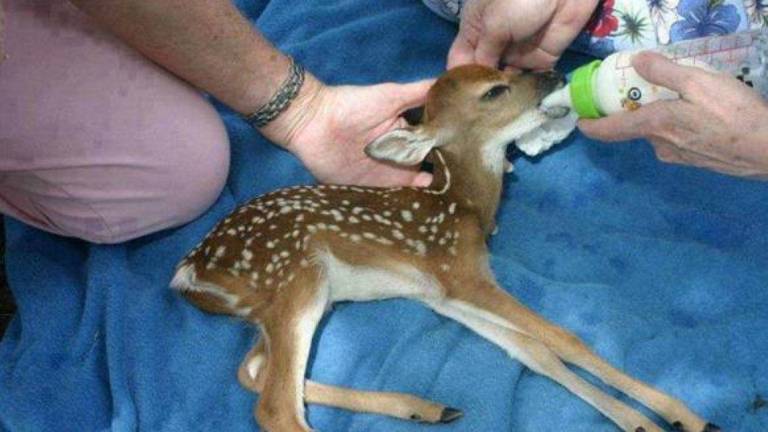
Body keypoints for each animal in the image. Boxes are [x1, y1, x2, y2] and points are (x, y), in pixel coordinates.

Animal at [171, 64, 720, 432]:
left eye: (503, 66)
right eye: (495, 90)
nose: (551, 72)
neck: (465, 206)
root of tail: (188, 272)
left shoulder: (441, 293)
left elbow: (536, 351)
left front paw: (640, 422)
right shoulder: (462, 275)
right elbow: (565, 339)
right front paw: (683, 416)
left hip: (283, 303)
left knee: (254, 371)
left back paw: (426, 406)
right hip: (294, 278)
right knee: (276, 407)